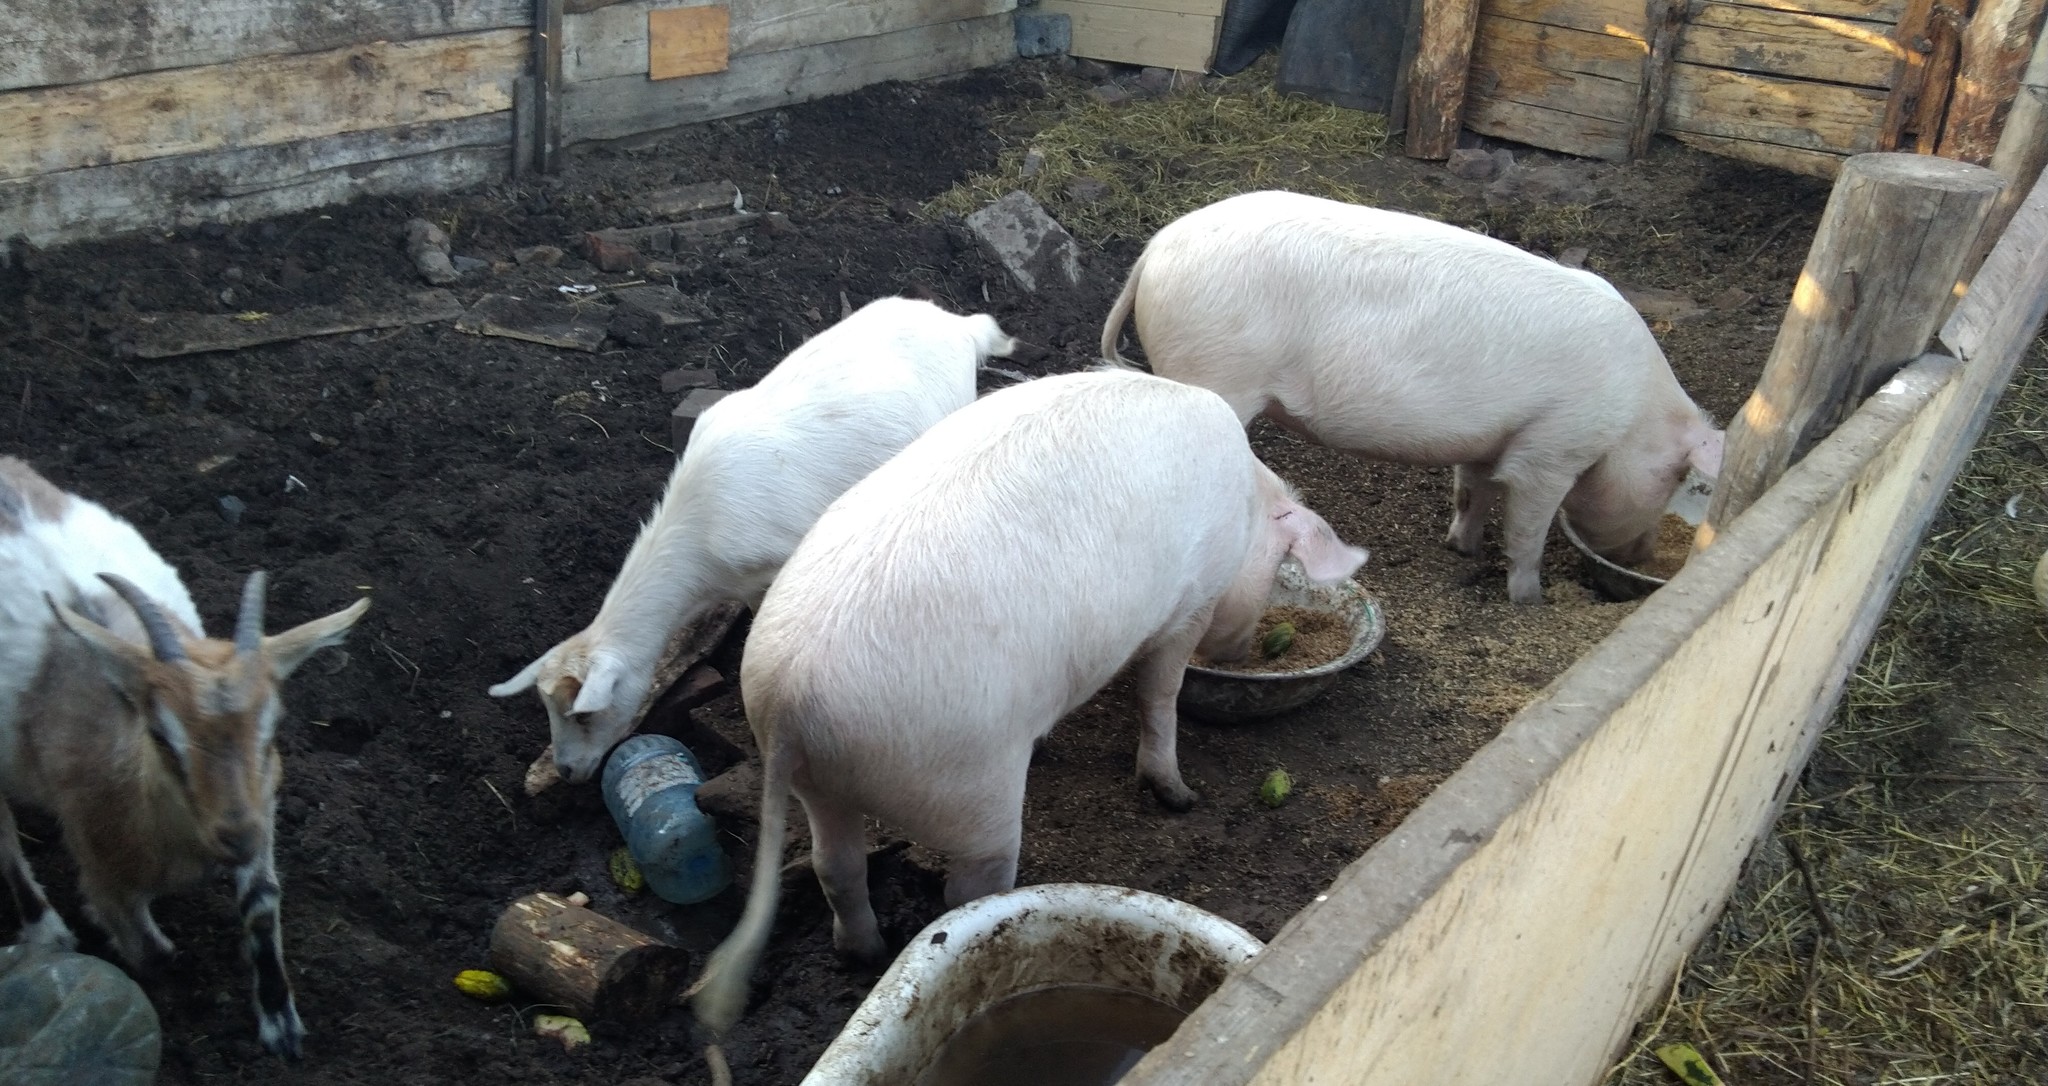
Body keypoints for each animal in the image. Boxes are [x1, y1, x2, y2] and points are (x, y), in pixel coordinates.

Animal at [0, 452, 364, 1049]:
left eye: (272, 727)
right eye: (161, 735)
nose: (236, 836)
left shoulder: (262, 807)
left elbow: (262, 901)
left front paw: (281, 1026)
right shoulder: (105, 877)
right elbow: (153, 956)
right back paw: (46, 930)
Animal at [684, 364, 1359, 1032]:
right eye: (1278, 565)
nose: (1242, 652)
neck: (1246, 501)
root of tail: (788, 704)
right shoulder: (1190, 603)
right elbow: (1159, 693)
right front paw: (1181, 797)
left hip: (821, 788)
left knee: (837, 867)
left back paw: (862, 955)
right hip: (968, 789)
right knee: (961, 896)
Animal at [1097, 190, 1720, 602]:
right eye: (1675, 478)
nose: (1642, 557)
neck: (1634, 415)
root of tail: (1155, 251)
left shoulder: (1494, 439)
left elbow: (1473, 490)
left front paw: (1462, 551)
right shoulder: (1553, 448)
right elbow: (1527, 527)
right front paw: (1530, 599)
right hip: (1217, 370)